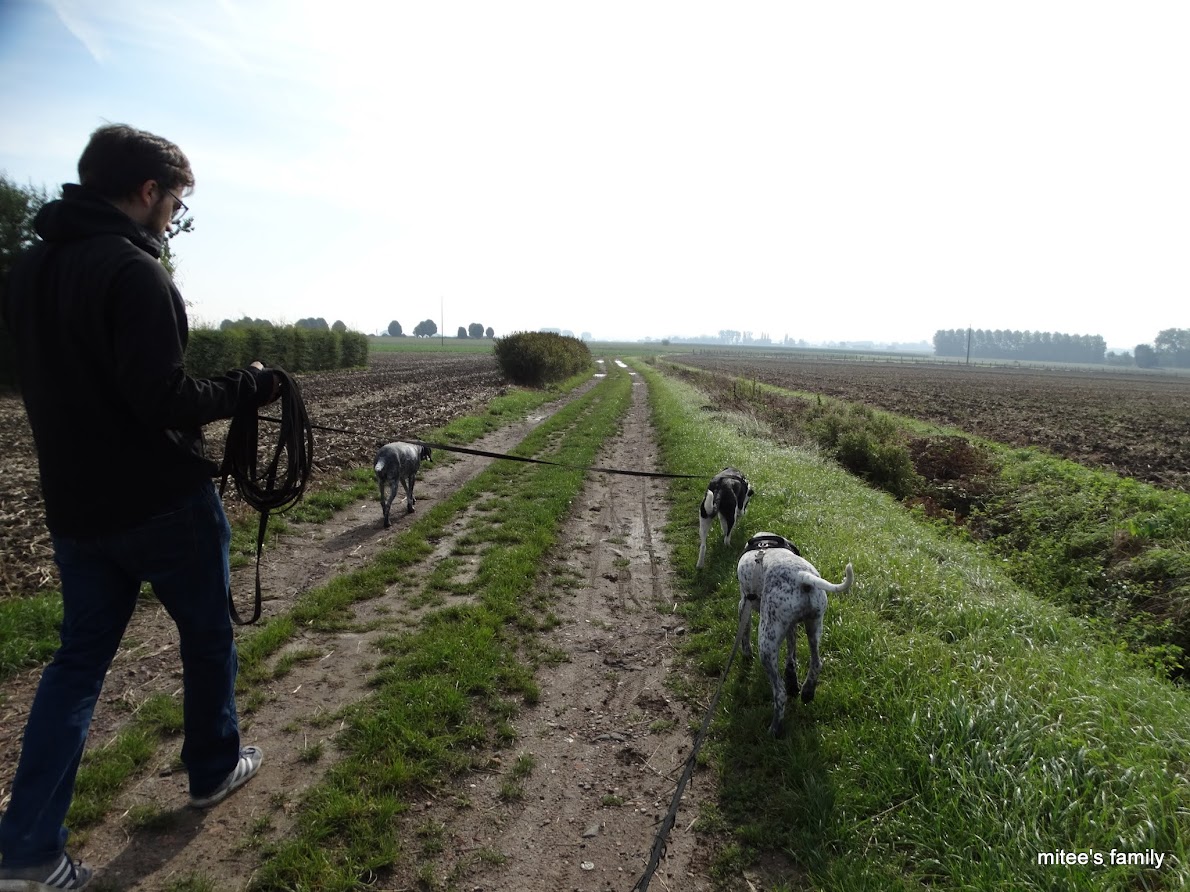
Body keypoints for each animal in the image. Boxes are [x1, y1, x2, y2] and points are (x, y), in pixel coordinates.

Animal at [733, 535, 856, 737]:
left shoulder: (744, 603)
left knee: (780, 694)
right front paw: (793, 678)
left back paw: (774, 729)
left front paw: (746, 654)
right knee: (816, 663)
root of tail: (801, 576)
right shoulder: (791, 625)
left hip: (766, 641)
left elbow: (745, 635)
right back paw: (806, 691)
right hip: (813, 626)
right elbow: (792, 654)